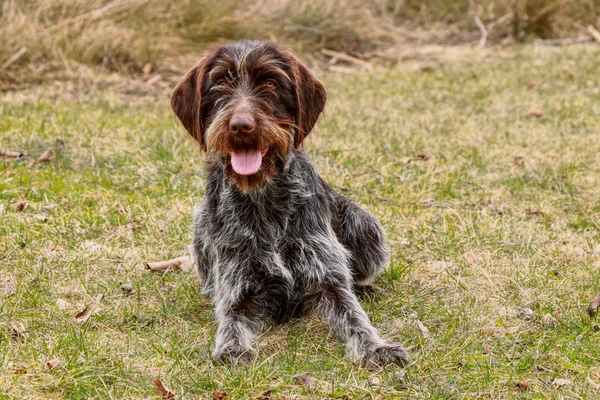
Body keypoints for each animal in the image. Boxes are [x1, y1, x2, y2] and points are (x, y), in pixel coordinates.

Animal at [171, 40, 410, 368]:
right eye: (219, 83)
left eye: (271, 83)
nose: (240, 125)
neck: (263, 196)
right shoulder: (239, 288)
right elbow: (231, 321)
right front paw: (231, 350)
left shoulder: (327, 276)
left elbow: (354, 316)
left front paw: (376, 347)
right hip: (200, 224)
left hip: (364, 224)